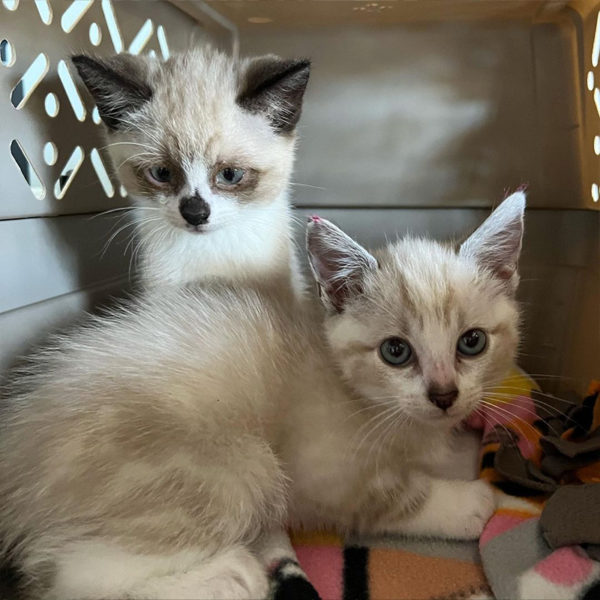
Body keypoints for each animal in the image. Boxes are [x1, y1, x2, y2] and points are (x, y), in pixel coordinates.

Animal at [0, 195, 524, 596]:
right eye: (396, 351)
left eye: (472, 342)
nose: (444, 394)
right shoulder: (320, 471)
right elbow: (394, 496)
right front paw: (466, 502)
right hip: (233, 468)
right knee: (68, 579)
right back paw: (232, 575)